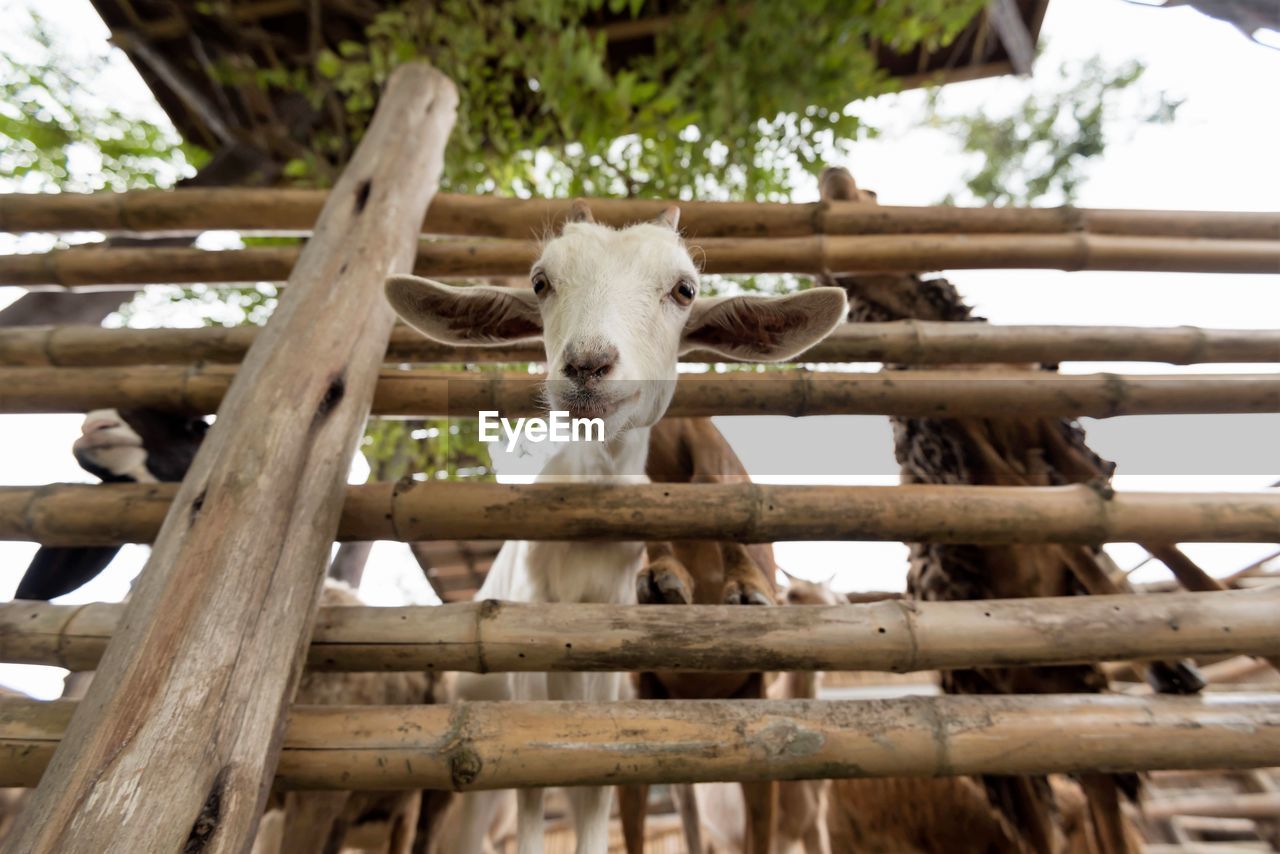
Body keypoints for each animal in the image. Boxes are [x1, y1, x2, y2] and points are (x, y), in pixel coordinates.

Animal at [389, 202, 849, 854]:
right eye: (541, 282)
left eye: (684, 289)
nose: (586, 365)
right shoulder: (528, 648)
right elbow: (533, 788)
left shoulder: (607, 663)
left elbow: (592, 788)